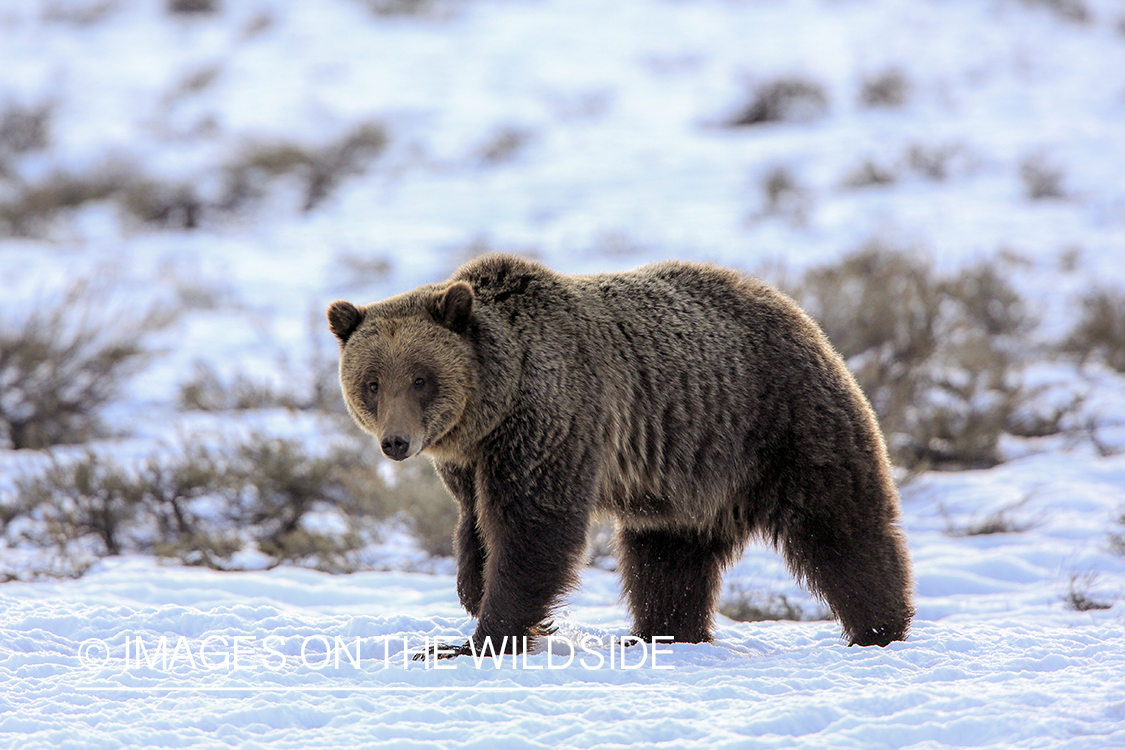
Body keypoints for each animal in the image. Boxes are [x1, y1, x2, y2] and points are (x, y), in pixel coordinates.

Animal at [327, 253, 914, 655]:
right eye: (372, 382)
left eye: (420, 379)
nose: (396, 441)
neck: (496, 404)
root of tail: (795, 309)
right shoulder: (471, 464)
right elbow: (475, 531)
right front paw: (482, 599)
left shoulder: (552, 425)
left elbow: (533, 530)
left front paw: (480, 637)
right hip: (688, 474)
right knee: (667, 561)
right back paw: (663, 634)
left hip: (781, 420)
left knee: (841, 526)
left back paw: (879, 627)